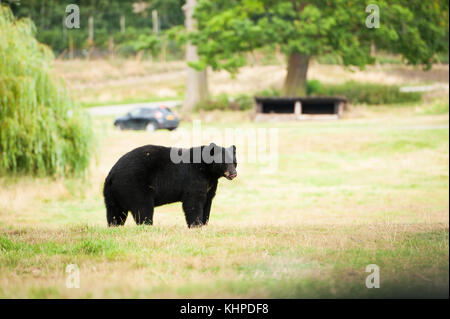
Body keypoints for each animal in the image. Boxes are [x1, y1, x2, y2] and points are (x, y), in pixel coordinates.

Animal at [102, 144, 236, 229]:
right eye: (224, 162)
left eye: (234, 162)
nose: (233, 173)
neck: (208, 171)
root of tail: (111, 175)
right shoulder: (194, 178)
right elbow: (193, 201)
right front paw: (196, 225)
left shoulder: (210, 184)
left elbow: (207, 202)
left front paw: (204, 224)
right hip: (135, 185)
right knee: (143, 207)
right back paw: (147, 226)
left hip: (113, 194)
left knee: (115, 211)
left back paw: (114, 226)